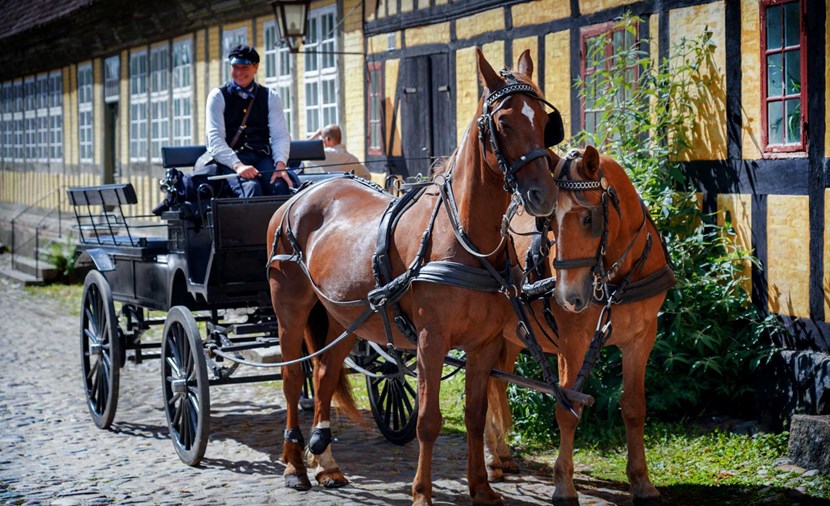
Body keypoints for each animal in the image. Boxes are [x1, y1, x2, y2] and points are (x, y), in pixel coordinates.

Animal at [266, 49, 561, 505]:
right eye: (504, 123)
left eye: (546, 123)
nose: (543, 196)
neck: (463, 238)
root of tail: (300, 195)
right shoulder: (430, 341)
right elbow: (427, 419)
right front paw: (422, 492)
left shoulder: (483, 344)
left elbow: (475, 416)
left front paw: (481, 487)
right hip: (291, 310)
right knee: (293, 377)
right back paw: (295, 465)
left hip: (343, 318)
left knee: (324, 373)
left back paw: (327, 464)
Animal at [484, 146, 674, 506]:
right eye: (549, 223)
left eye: (589, 219)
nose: (568, 297)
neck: (614, 279)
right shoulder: (571, 343)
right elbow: (566, 407)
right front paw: (563, 484)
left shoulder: (641, 340)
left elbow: (634, 408)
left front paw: (641, 481)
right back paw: (491, 460)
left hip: (509, 335)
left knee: (493, 381)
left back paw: (501, 455)